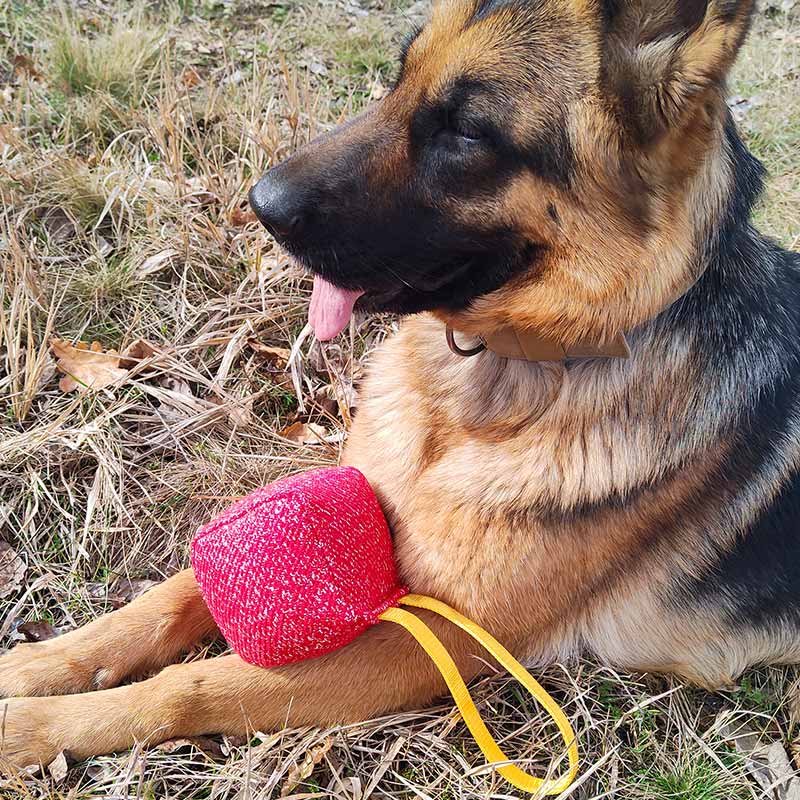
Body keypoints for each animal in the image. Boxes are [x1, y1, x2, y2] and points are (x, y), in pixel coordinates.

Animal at [1, 0, 800, 776]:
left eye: (467, 132)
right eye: (398, 77)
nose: (259, 203)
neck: (477, 390)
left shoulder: (441, 634)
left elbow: (200, 683)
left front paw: (36, 727)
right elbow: (168, 597)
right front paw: (40, 664)